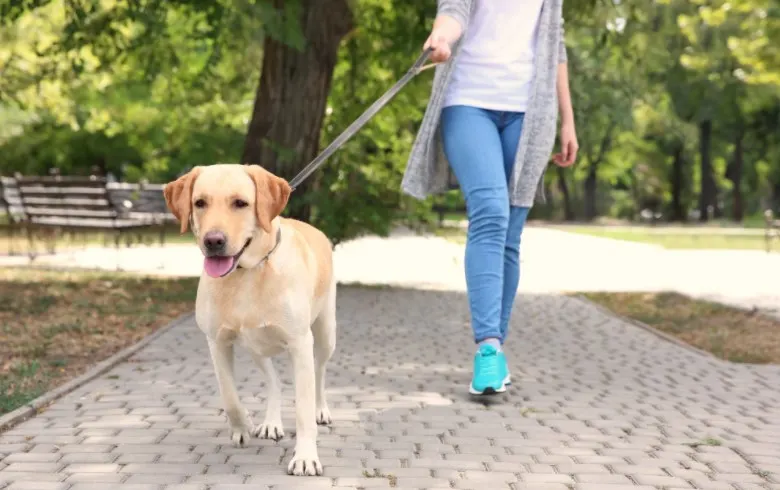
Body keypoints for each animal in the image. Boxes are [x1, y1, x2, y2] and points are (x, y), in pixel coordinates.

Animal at [163, 164, 336, 474]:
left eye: (240, 203)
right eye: (200, 203)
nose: (213, 241)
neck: (247, 273)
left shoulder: (300, 343)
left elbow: (303, 408)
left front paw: (305, 456)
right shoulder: (217, 342)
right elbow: (229, 395)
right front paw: (242, 425)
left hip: (326, 334)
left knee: (319, 372)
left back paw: (321, 410)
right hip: (256, 348)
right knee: (274, 381)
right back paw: (270, 422)